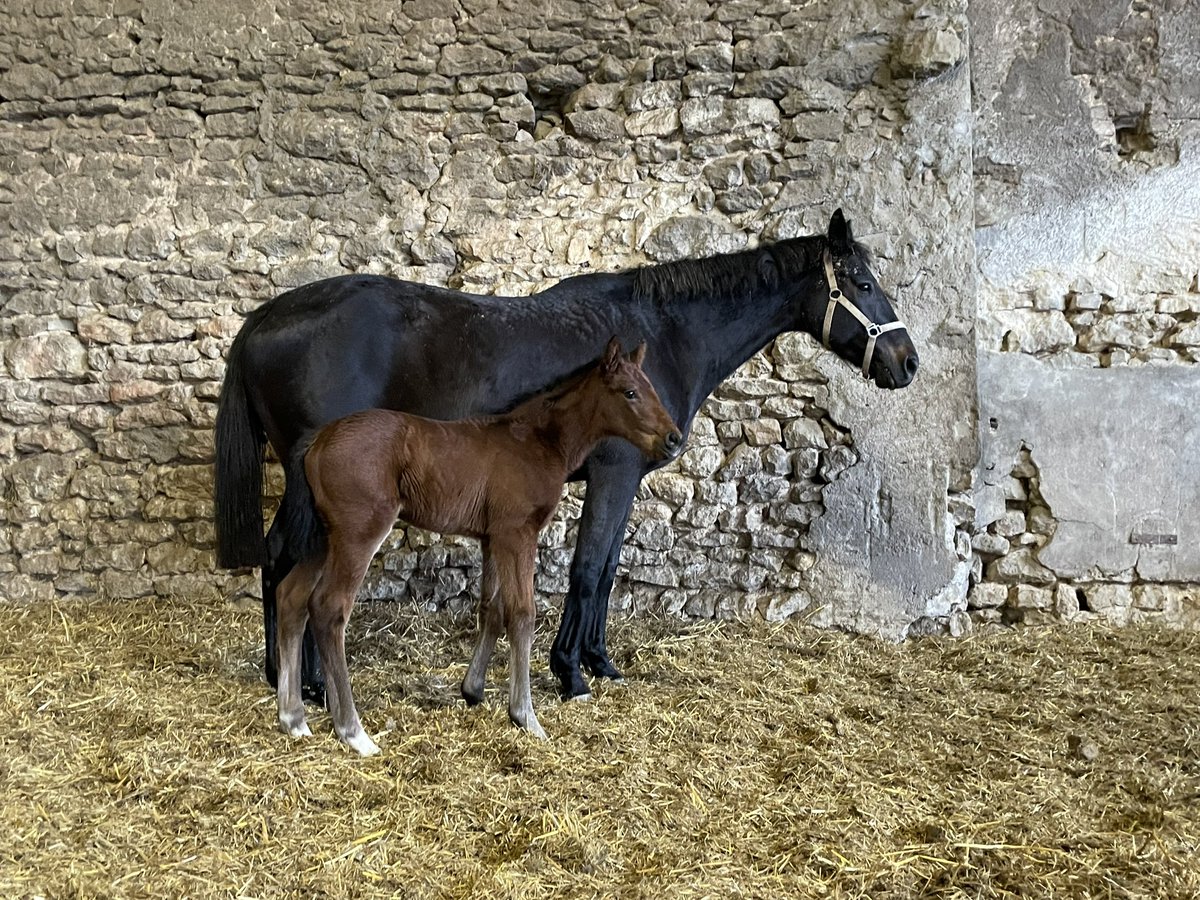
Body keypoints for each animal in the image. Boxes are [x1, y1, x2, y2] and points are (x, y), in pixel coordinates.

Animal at [215, 209, 919, 703]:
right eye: (861, 282)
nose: (907, 361)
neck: (664, 336)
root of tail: (263, 321)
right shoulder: (614, 473)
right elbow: (585, 569)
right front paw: (569, 673)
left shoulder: (624, 480)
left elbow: (605, 571)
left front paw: (601, 662)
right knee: (287, 560)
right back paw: (299, 682)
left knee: (284, 561)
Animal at [275, 338, 681, 754]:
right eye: (630, 392)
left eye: (651, 387)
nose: (674, 439)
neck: (537, 441)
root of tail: (319, 438)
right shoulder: (518, 534)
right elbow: (522, 614)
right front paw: (525, 715)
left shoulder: (492, 538)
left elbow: (492, 609)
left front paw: (473, 691)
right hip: (358, 534)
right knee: (329, 608)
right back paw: (353, 731)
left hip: (323, 539)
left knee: (291, 597)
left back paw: (293, 719)